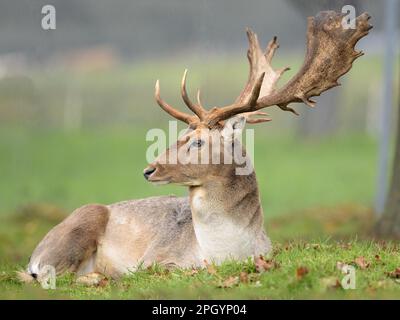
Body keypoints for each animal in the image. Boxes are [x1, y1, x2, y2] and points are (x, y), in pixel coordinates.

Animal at [21, 10, 372, 282]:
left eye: (199, 140)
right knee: (48, 276)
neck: (223, 253)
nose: (149, 169)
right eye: (180, 136)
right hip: (77, 227)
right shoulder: (154, 260)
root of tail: (34, 254)